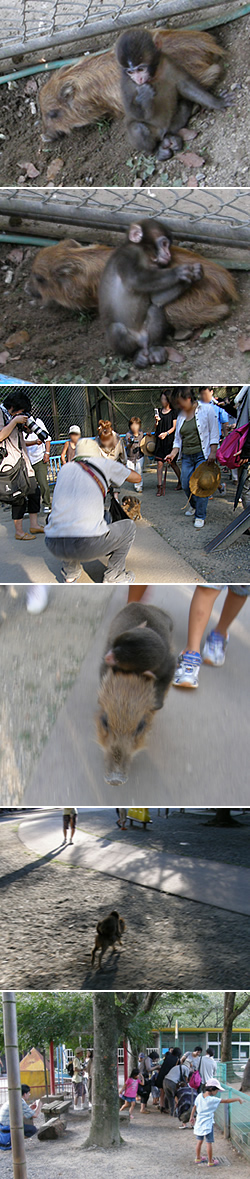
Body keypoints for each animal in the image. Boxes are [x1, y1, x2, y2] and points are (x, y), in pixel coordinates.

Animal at [98, 219, 204, 365]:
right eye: (164, 244)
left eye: (169, 246)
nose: (169, 254)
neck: (145, 256)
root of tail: (141, 340)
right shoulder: (127, 254)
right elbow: (134, 279)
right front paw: (178, 272)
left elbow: (156, 299)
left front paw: (194, 274)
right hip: (126, 339)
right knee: (116, 330)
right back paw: (136, 355)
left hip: (146, 334)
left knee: (155, 310)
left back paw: (155, 348)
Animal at [116, 28, 231, 157]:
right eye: (130, 72)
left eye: (140, 69)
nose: (138, 79)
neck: (154, 75)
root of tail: (161, 133)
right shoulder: (127, 83)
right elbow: (133, 112)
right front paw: (144, 95)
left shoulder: (167, 61)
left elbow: (186, 86)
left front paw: (217, 102)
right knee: (137, 128)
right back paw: (156, 150)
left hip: (171, 125)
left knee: (184, 105)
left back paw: (173, 138)